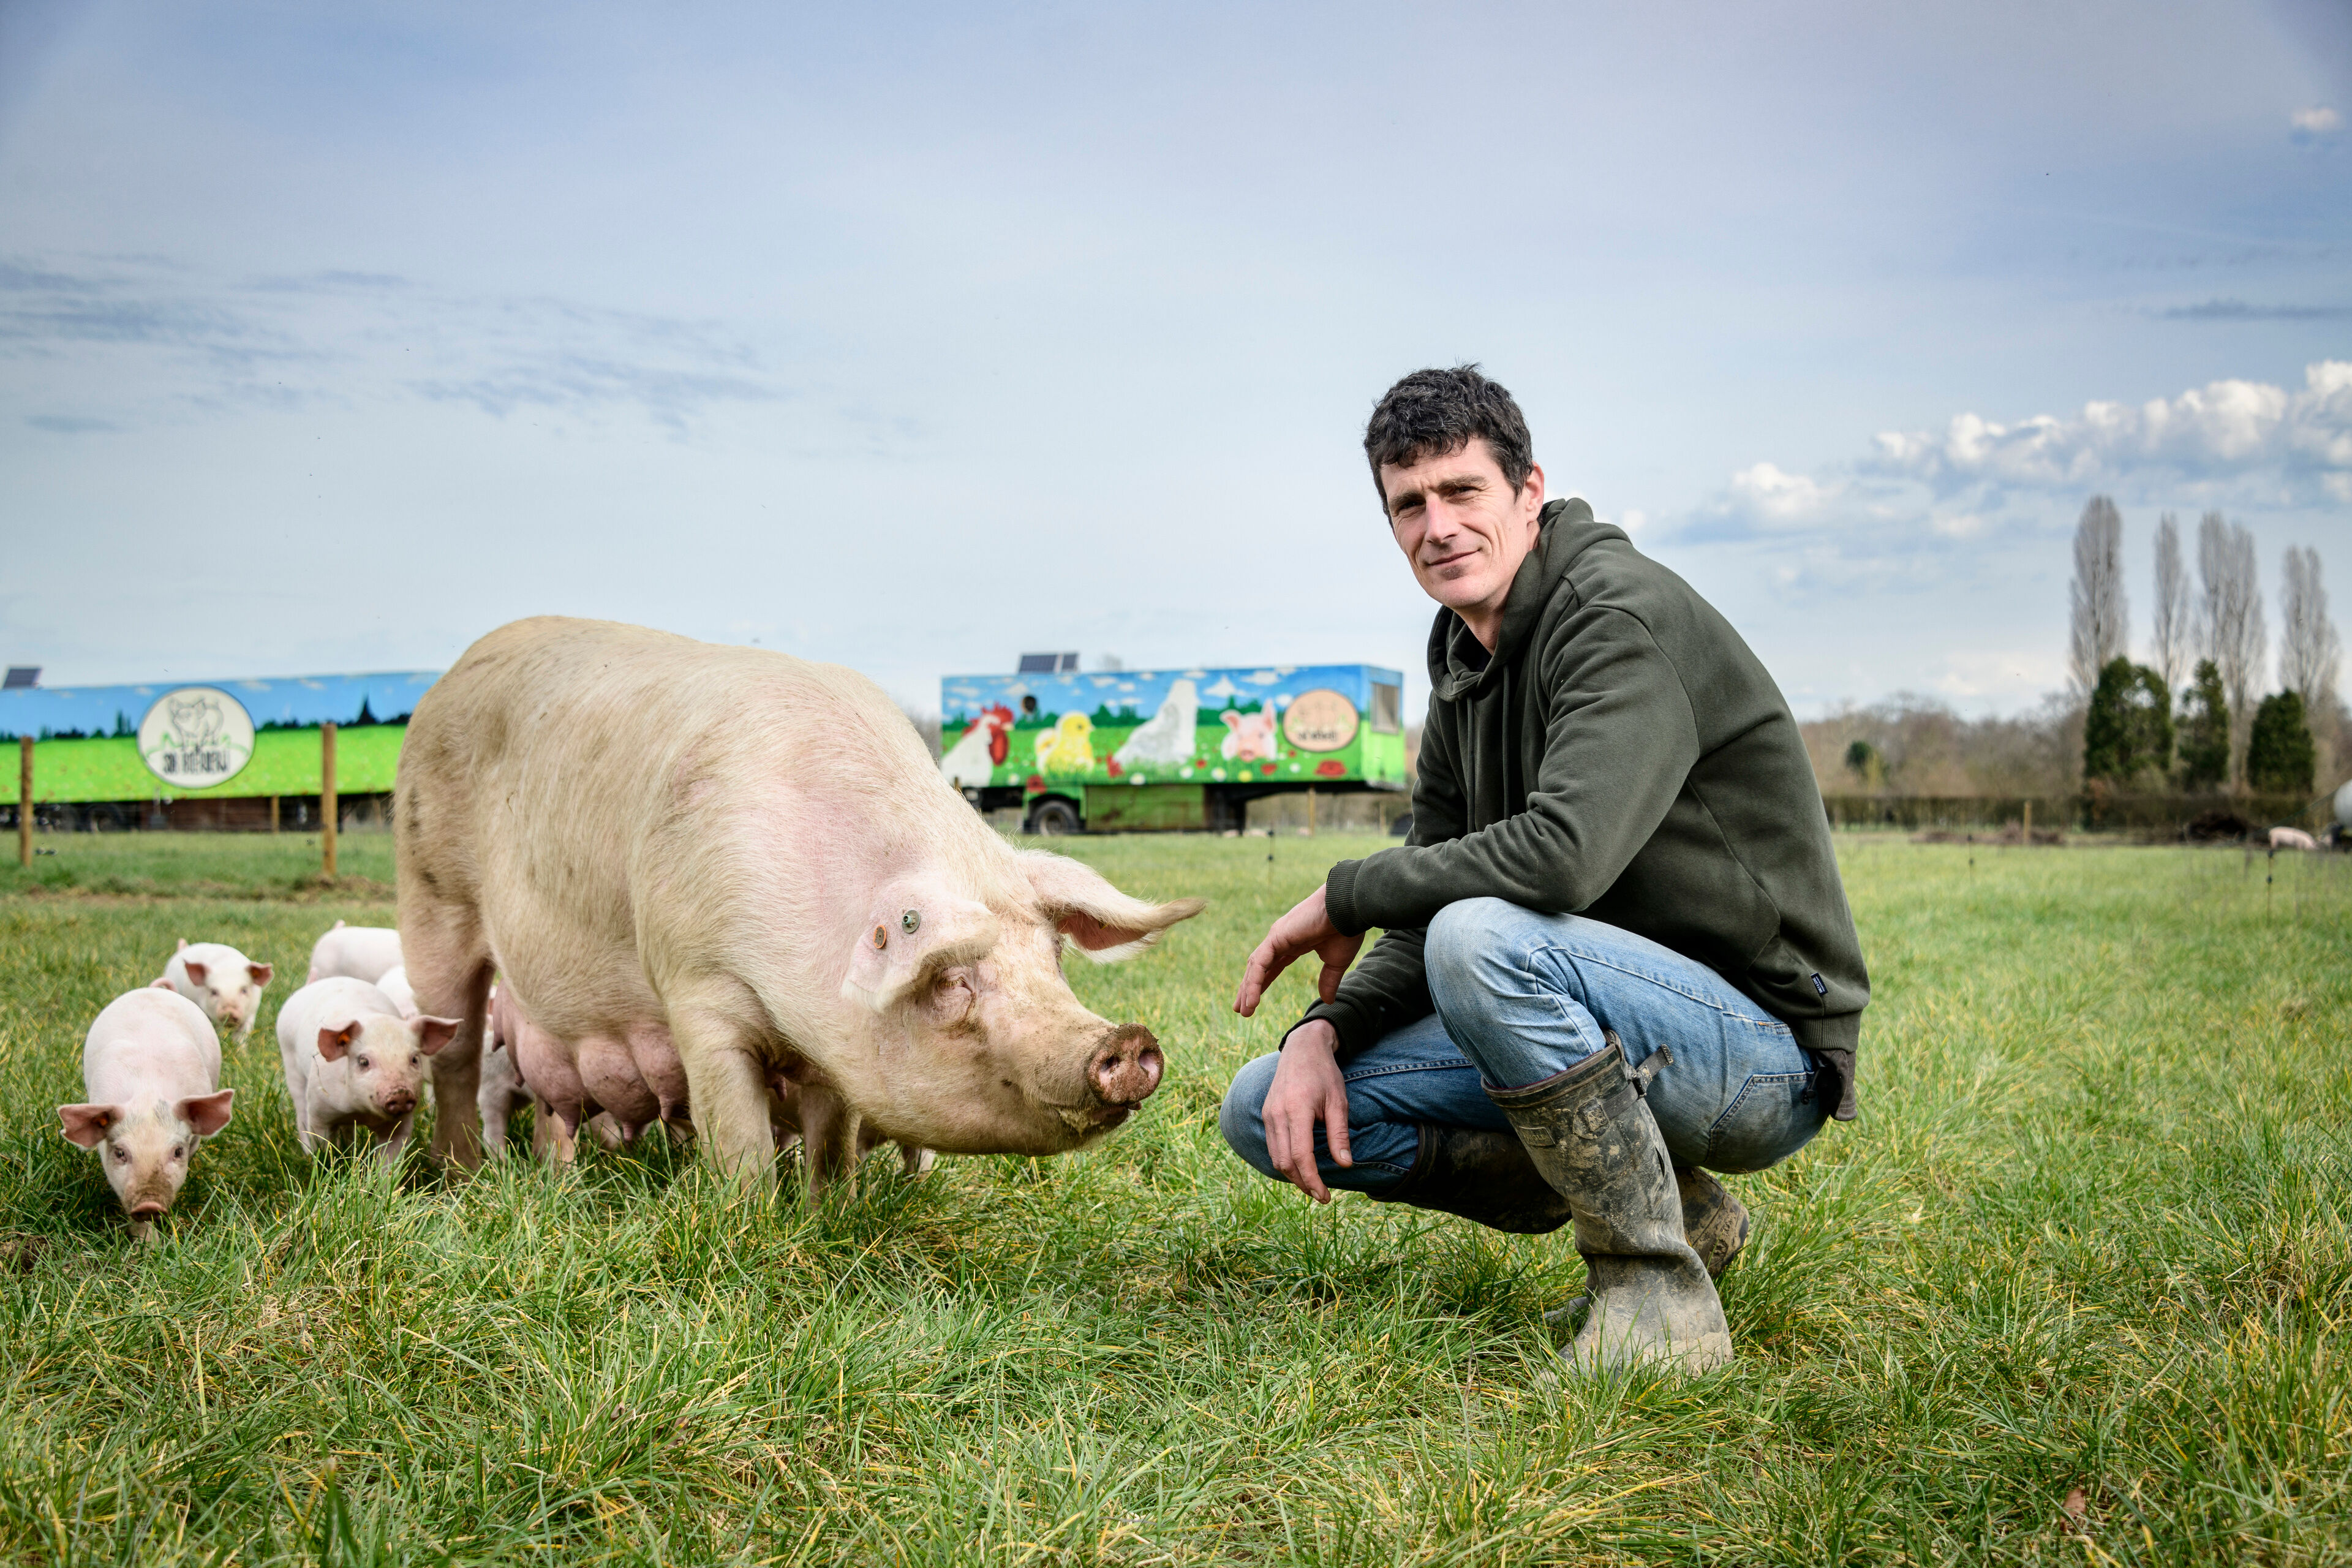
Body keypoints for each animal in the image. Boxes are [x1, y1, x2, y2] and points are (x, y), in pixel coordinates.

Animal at [58, 988, 236, 1241]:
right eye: (121, 1153)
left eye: (178, 1152)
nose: (149, 1204)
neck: (147, 1094)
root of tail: (152, 989)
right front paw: (146, 1245)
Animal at [155, 939, 275, 1042]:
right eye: (214, 992)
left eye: (244, 990)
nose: (229, 1011)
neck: (228, 967)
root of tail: (184, 948)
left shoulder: (252, 1013)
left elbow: (242, 1036)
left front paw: (242, 1052)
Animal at [276, 976, 459, 1163]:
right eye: (364, 1061)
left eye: (415, 1059)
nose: (400, 1093)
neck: (361, 1111)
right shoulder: (319, 1111)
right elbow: (322, 1145)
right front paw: (322, 1162)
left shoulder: (402, 1123)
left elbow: (390, 1157)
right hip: (291, 1064)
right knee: (301, 1112)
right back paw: (308, 1153)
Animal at [394, 616, 1204, 1187]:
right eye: (950, 980)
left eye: (1053, 953)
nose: (1126, 1039)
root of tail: (450, 677)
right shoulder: (696, 983)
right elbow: (740, 1139)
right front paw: (748, 1217)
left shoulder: (834, 1041)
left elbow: (832, 1142)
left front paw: (827, 1206)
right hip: (429, 896)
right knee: (455, 1050)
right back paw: (462, 1175)